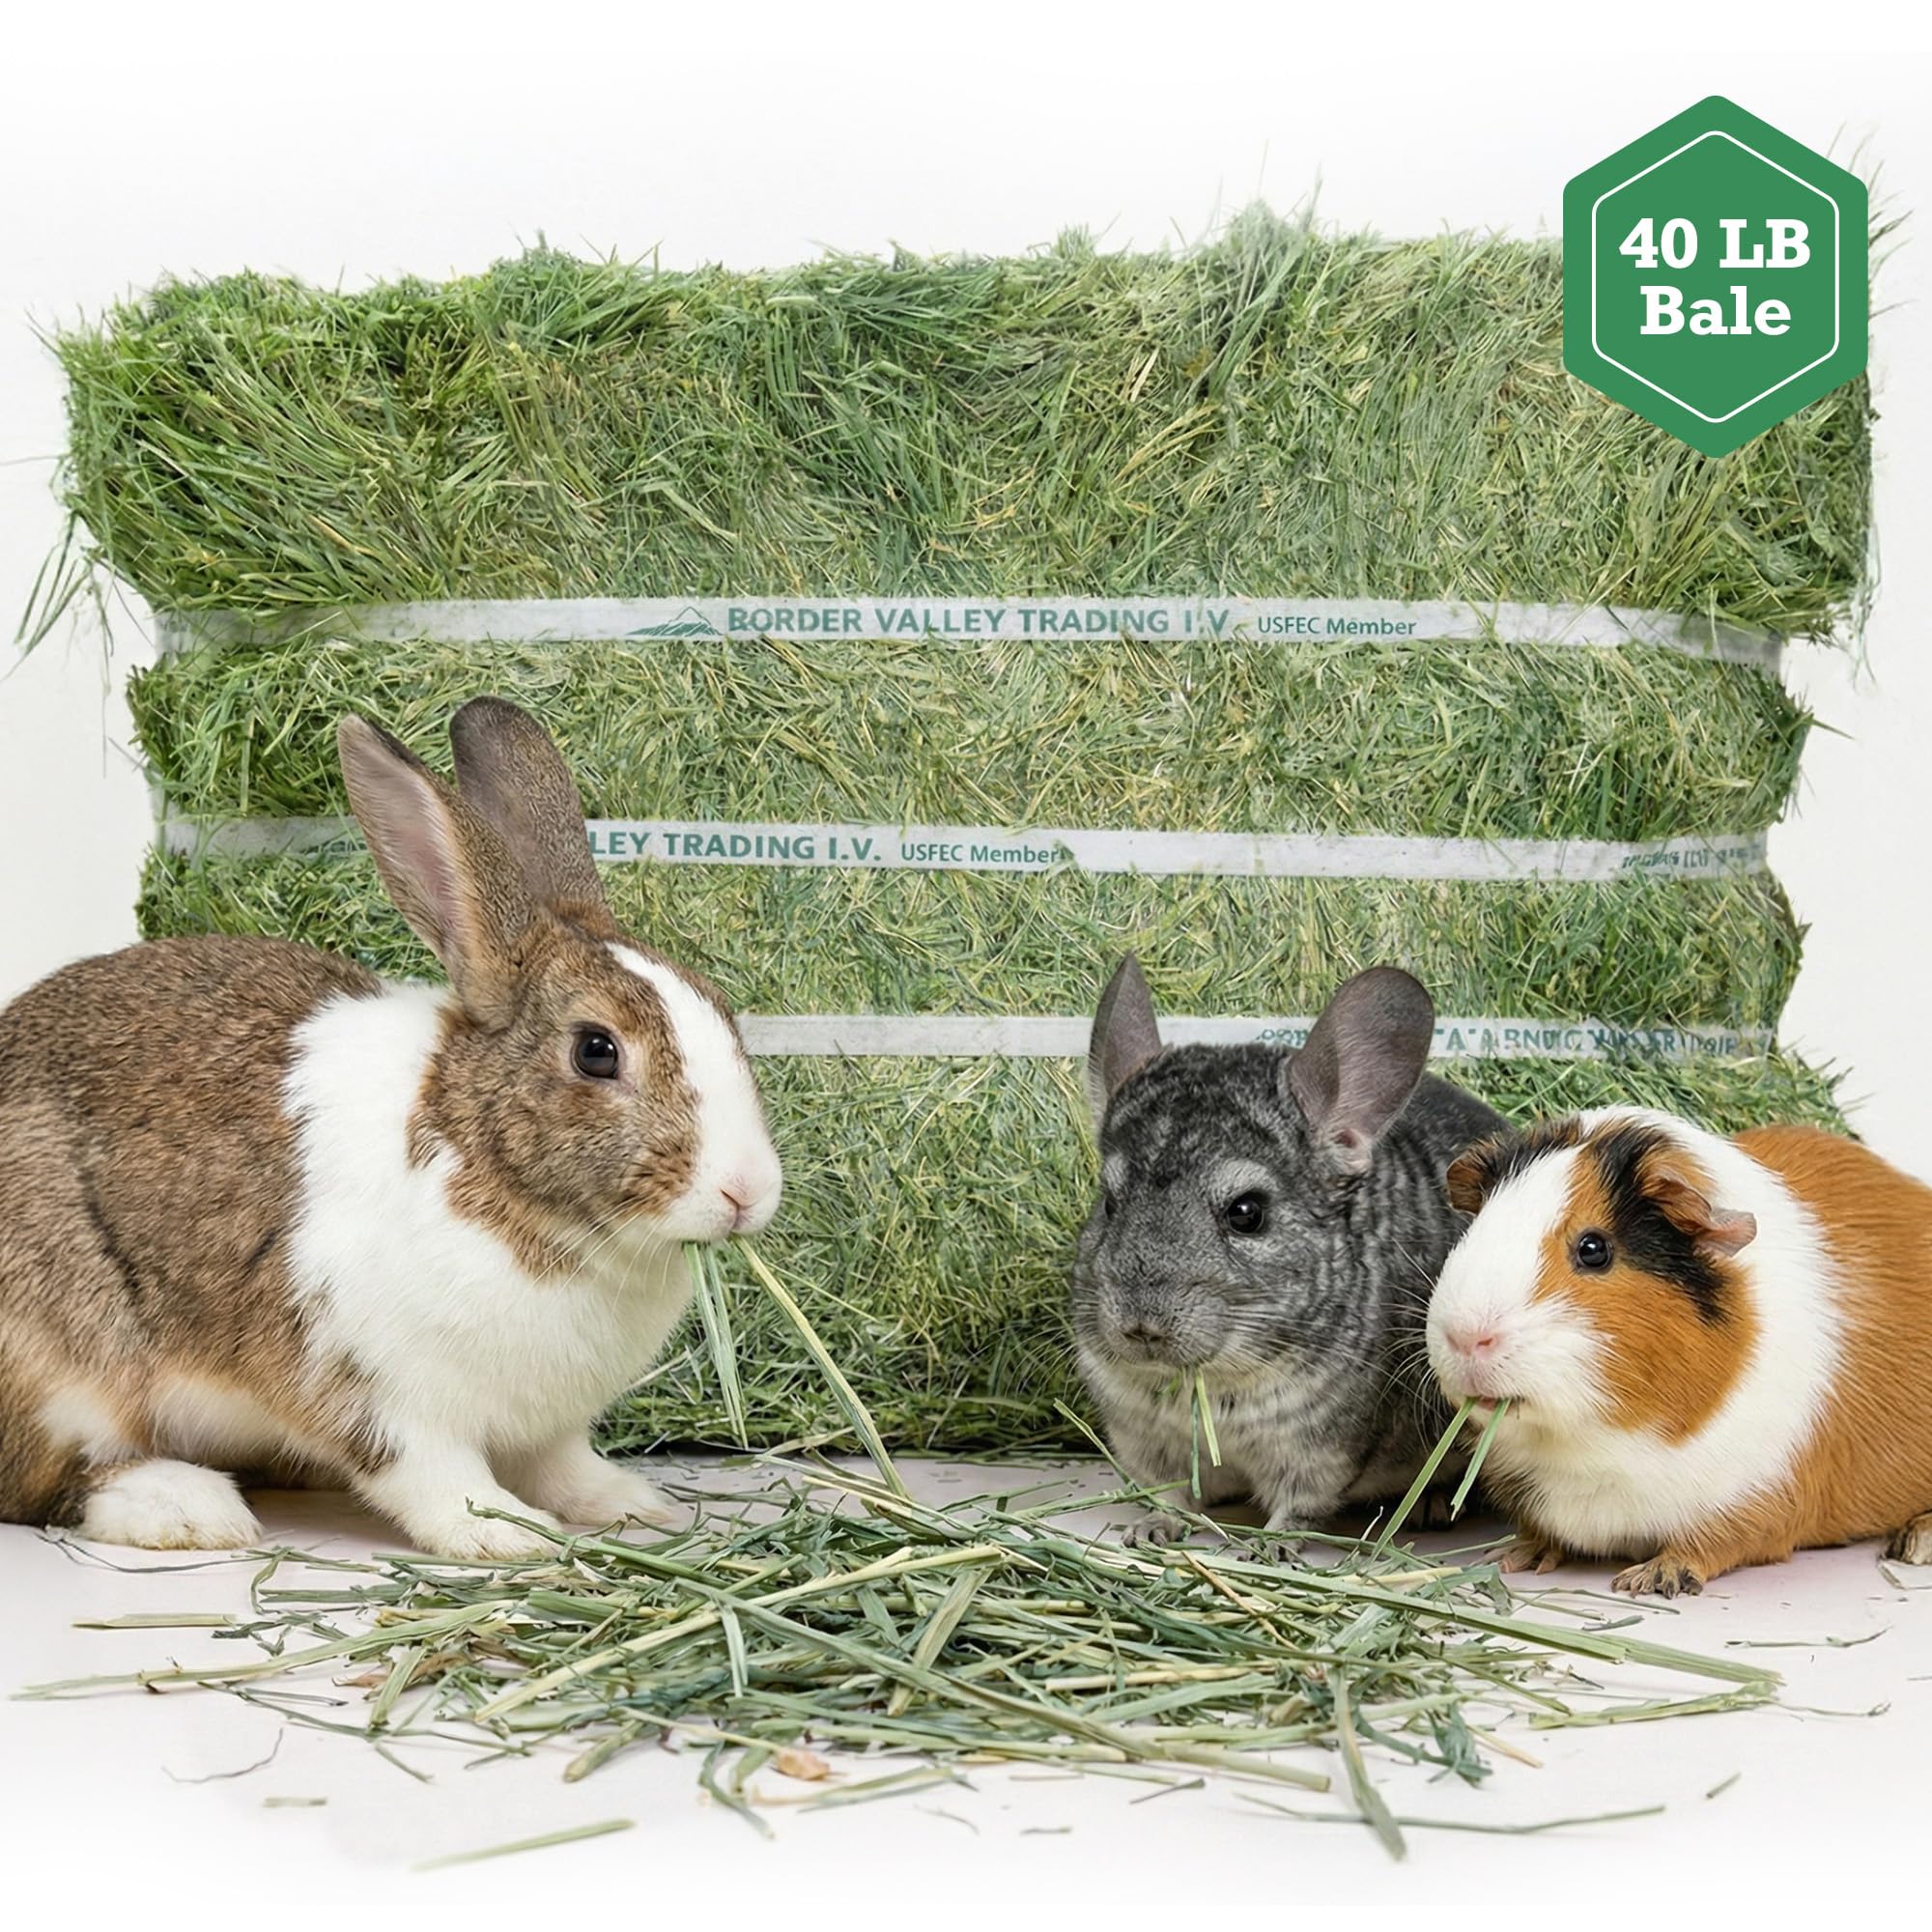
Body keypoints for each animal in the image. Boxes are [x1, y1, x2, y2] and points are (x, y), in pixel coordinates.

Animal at [0, 697, 782, 1559]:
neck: (478, 1152)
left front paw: (627, 1504)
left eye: (723, 1008)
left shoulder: (549, 1426)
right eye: (596, 1051)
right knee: (45, 1482)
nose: (748, 1190)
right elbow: (433, 1475)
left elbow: (563, 1464)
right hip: (53, 1362)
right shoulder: (375, 1388)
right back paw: (185, 1506)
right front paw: (506, 1536)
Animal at [1072, 958, 1505, 1547]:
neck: (1209, 1387)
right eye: (1110, 1203)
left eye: (1247, 1212)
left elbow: (1300, 1505)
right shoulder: (1144, 1441)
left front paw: (1269, 1548)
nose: (1141, 1326)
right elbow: (1168, 1495)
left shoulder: (1321, 1450)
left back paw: (1428, 1505)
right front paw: (1150, 1530)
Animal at [1430, 1106, 1932, 1596]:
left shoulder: (1757, 1498)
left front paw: (1651, 1579)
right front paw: (1510, 1557)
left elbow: (1712, 1542)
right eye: (1476, 1227)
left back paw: (1913, 1545)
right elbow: (1540, 1531)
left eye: (1594, 1249)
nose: (1465, 1336)